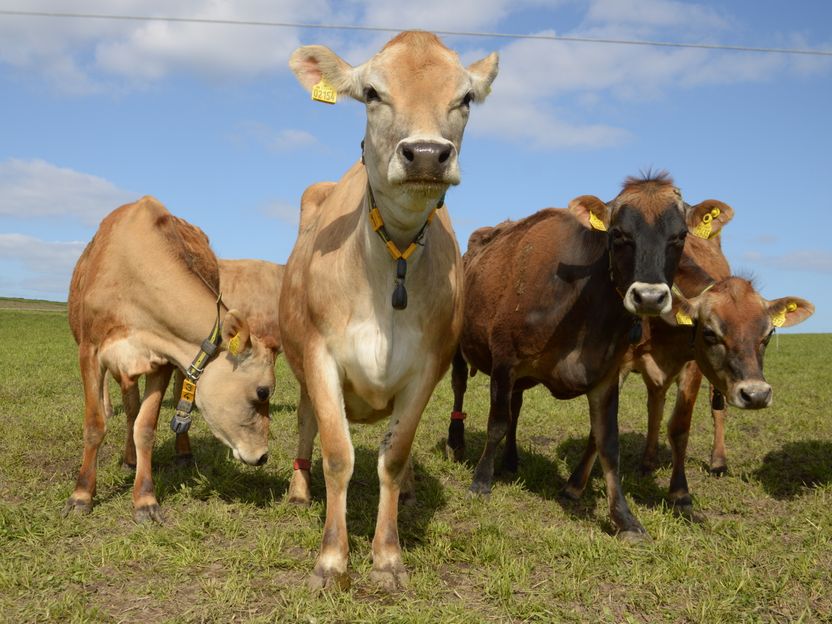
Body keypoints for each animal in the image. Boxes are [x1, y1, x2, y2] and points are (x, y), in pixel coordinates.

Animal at [66, 199, 276, 520]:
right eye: (262, 391)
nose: (263, 456)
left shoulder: (164, 360)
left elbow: (145, 428)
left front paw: (145, 499)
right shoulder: (90, 352)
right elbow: (95, 424)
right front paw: (81, 495)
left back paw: (183, 452)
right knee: (130, 407)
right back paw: (128, 459)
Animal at [282, 31, 498, 588]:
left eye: (466, 98)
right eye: (372, 93)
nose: (425, 154)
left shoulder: (429, 366)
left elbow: (394, 457)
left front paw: (387, 557)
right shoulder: (319, 355)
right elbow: (338, 455)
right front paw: (332, 560)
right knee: (307, 424)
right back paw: (298, 490)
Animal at [448, 174, 696, 540]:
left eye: (680, 236)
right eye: (618, 234)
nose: (649, 297)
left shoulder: (607, 375)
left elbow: (608, 443)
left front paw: (625, 518)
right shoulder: (505, 360)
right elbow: (496, 423)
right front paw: (480, 481)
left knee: (516, 406)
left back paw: (511, 460)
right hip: (458, 346)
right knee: (459, 387)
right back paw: (457, 442)